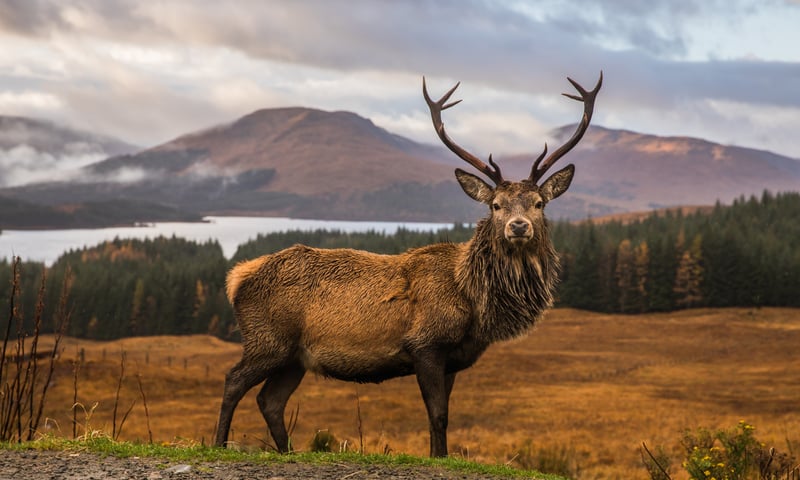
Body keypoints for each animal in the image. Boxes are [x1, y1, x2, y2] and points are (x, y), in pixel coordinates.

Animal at [214, 72, 602, 457]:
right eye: (496, 205)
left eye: (538, 203)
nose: (518, 226)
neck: (473, 301)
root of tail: (236, 278)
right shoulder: (424, 343)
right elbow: (438, 414)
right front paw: (440, 456)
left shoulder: (452, 358)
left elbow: (440, 416)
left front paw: (438, 455)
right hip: (268, 339)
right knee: (233, 380)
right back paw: (219, 443)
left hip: (295, 357)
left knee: (270, 401)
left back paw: (287, 451)